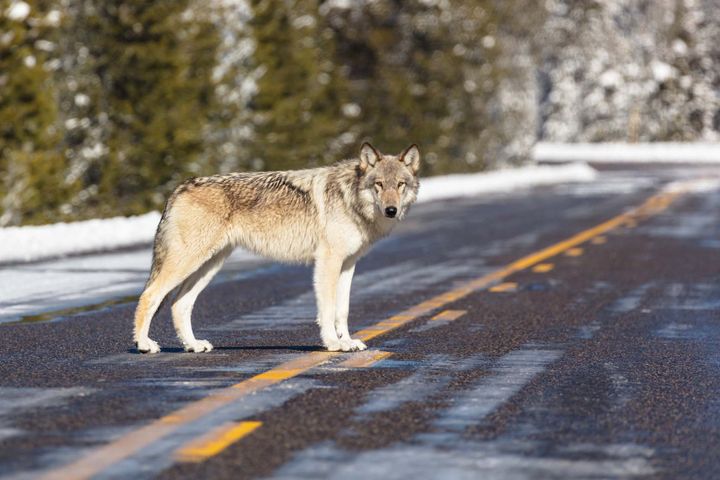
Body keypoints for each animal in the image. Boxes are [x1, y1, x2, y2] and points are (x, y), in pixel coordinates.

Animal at [133, 143, 420, 354]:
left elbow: (343, 310)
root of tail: (179, 188)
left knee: (179, 304)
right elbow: (327, 310)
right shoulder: (328, 262)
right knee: (150, 295)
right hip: (189, 262)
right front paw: (333, 344)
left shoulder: (348, 264)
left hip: (209, 266)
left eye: (400, 184)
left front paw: (347, 341)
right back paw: (144, 344)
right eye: (379, 184)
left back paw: (193, 345)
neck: (350, 198)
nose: (391, 210)